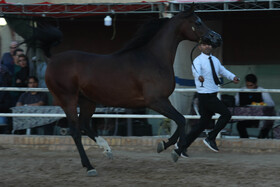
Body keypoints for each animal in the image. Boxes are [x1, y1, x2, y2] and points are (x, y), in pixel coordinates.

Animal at [44, 5, 222, 176]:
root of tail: (52, 60)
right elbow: (181, 120)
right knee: (75, 131)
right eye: (198, 22)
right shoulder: (156, 101)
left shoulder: (162, 101)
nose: (217, 38)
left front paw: (163, 145)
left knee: (84, 125)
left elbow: (180, 121)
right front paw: (175, 151)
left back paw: (107, 150)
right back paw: (90, 167)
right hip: (68, 100)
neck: (153, 58)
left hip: (87, 101)